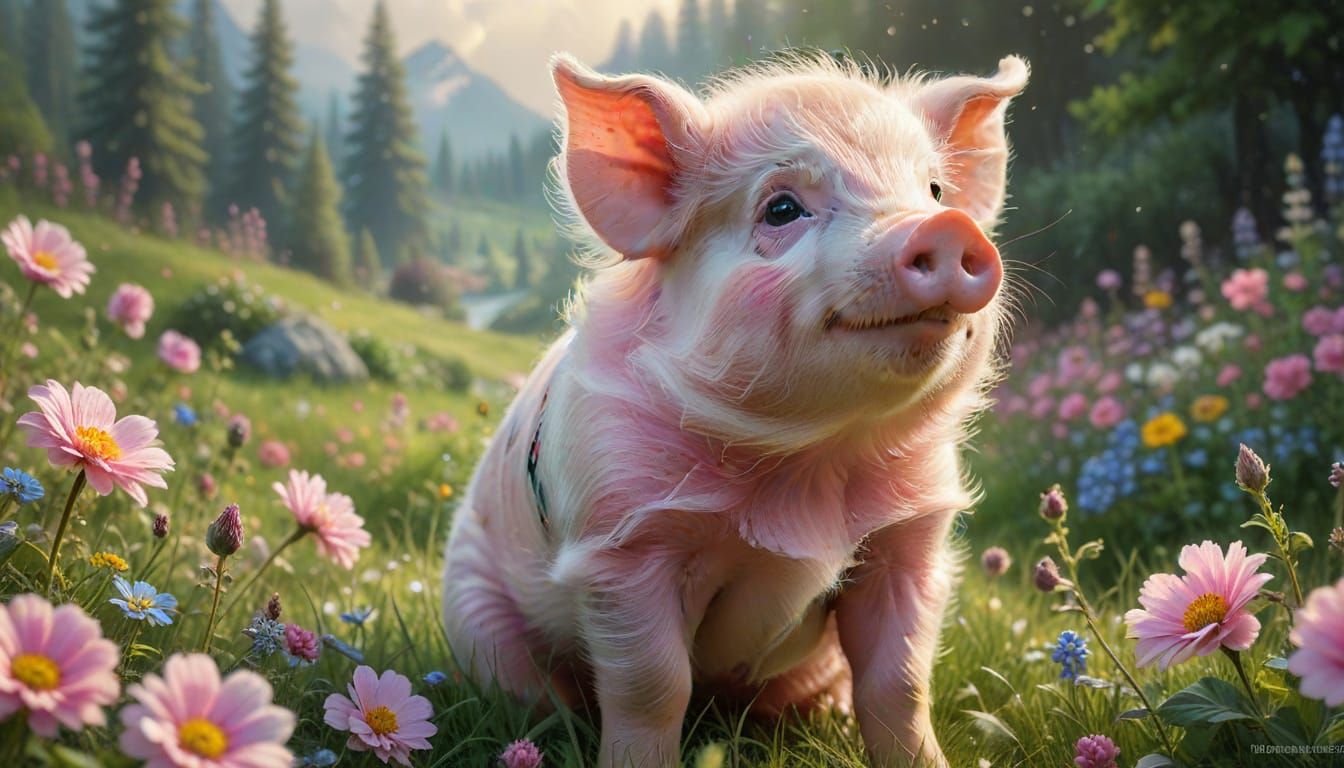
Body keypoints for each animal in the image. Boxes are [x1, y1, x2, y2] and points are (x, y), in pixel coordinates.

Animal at [442, 50, 1029, 767]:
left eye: (936, 191)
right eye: (781, 208)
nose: (945, 228)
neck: (809, 471)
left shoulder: (908, 538)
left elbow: (901, 682)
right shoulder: (620, 543)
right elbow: (652, 687)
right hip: (475, 619)